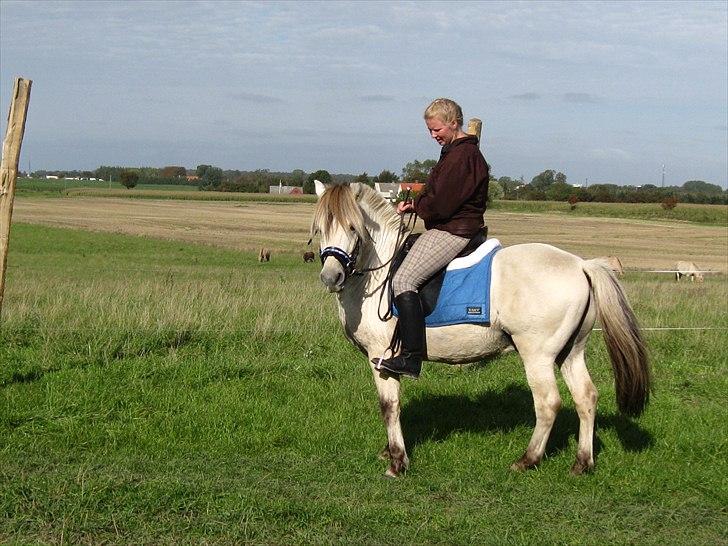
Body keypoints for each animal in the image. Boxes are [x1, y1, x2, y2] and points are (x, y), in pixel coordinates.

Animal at [310, 180, 652, 476]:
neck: (378, 272)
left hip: (538, 355)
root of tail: (581, 265)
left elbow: (389, 406)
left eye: (353, 227)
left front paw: (397, 461)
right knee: (586, 397)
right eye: (320, 228)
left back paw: (527, 460)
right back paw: (582, 463)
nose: (331, 277)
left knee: (548, 403)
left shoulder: (380, 357)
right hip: (570, 351)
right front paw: (389, 452)